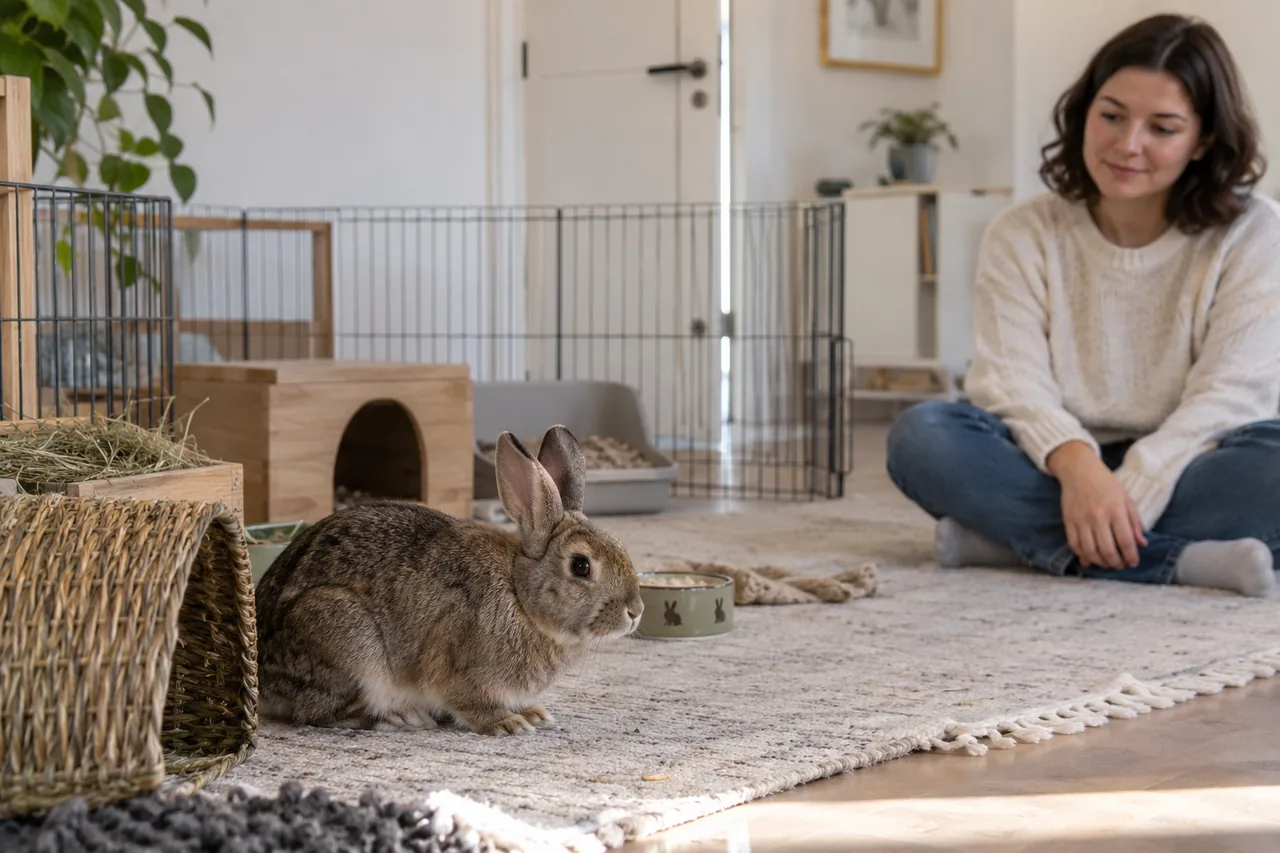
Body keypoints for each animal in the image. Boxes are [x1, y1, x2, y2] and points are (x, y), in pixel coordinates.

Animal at [252, 424, 644, 737]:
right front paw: (508, 723)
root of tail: (262, 678)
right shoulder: (458, 668)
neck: (520, 596)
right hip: (343, 636)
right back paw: (398, 718)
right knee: (320, 713)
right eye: (581, 566)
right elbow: (470, 703)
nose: (635, 611)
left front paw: (533, 713)